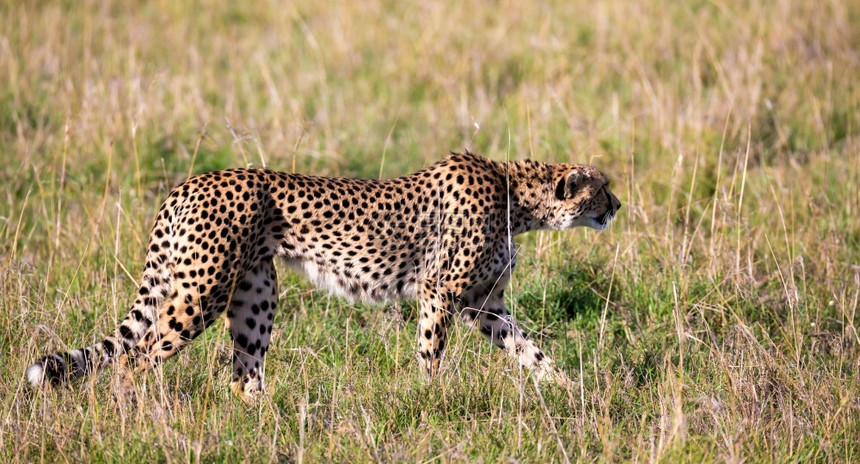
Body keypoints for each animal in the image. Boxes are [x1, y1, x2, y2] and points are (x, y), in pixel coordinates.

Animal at [25, 151, 620, 398]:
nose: (618, 205)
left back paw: (264, 420)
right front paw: (430, 399)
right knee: (138, 356)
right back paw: (141, 414)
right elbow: (431, 353)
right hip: (203, 291)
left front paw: (571, 389)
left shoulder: (483, 304)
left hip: (255, 292)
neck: (516, 195)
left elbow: (531, 349)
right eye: (602, 187)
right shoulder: (440, 292)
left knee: (242, 371)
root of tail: (189, 181)